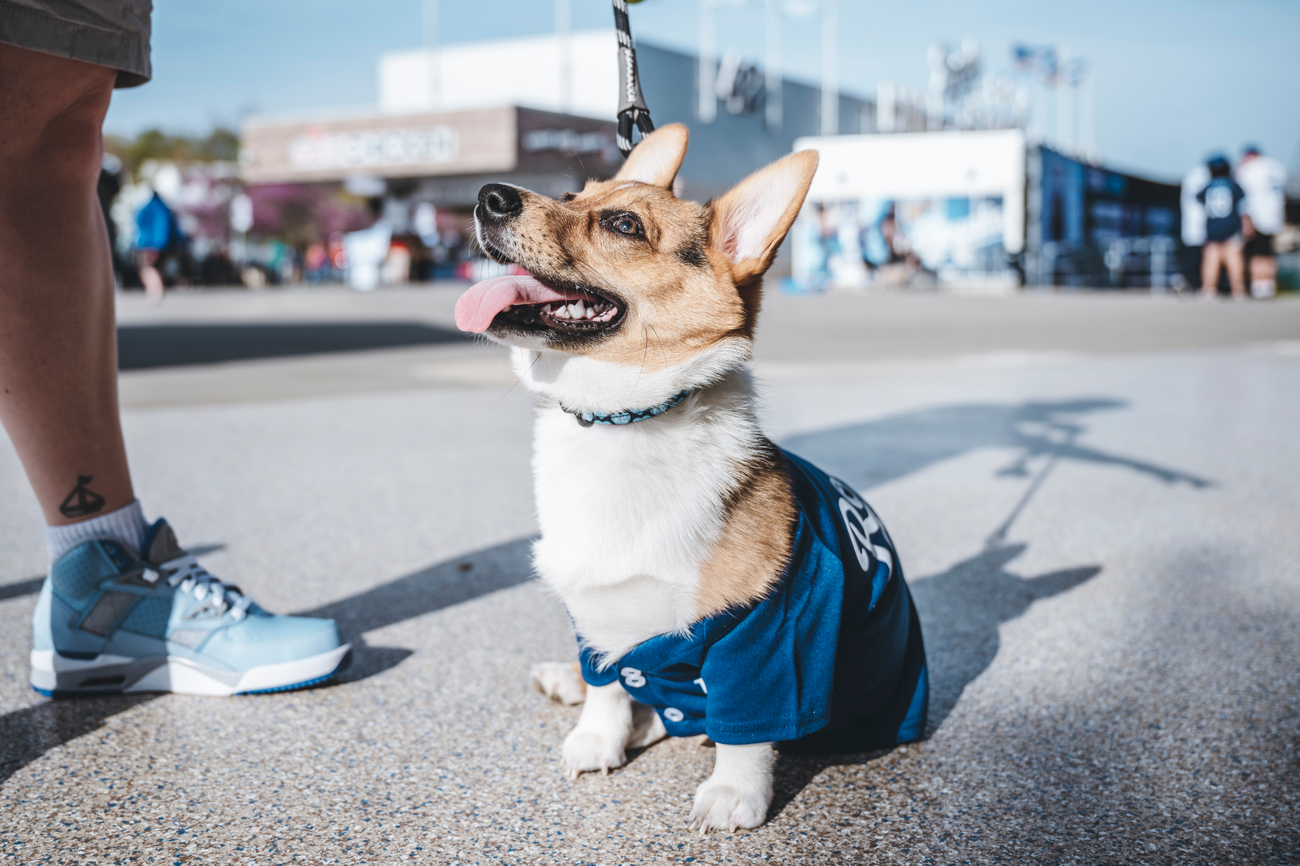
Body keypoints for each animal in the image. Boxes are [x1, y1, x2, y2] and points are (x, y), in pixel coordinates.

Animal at [452, 124, 930, 832]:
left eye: (623, 224)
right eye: (570, 196)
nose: (489, 196)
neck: (622, 424)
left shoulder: (767, 630)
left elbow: (746, 728)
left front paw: (733, 794)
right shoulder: (592, 614)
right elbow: (607, 689)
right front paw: (596, 738)